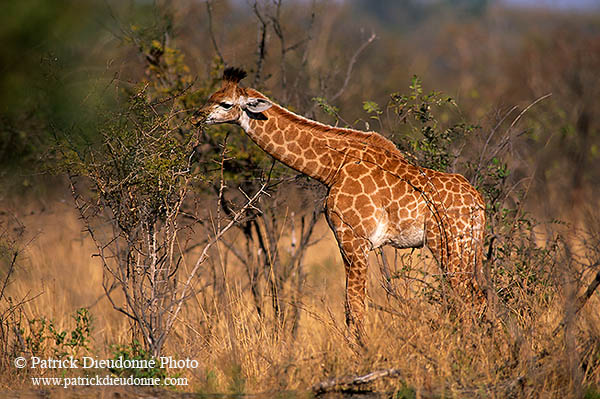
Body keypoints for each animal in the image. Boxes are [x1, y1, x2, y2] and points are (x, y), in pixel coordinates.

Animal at [197, 67, 488, 336]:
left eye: (225, 104)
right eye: (211, 96)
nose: (197, 116)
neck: (331, 167)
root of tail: (478, 203)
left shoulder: (354, 240)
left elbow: (355, 309)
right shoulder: (349, 243)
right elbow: (351, 308)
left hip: (448, 244)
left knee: (465, 299)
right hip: (469, 247)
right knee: (479, 297)